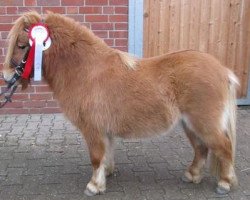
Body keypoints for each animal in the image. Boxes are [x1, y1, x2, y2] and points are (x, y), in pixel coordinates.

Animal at [2, 11, 239, 196]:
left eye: (22, 45)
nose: (6, 77)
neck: (86, 70)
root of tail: (222, 70)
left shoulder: (92, 129)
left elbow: (96, 156)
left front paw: (94, 186)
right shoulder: (104, 130)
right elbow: (106, 153)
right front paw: (106, 174)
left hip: (204, 124)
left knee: (223, 147)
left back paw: (224, 183)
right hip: (190, 125)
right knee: (201, 149)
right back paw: (192, 175)